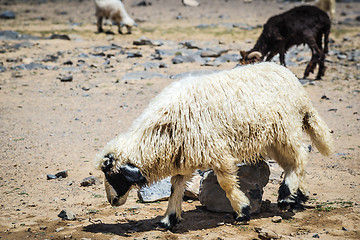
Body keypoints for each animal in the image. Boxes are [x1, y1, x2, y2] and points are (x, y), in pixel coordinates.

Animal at [94, 61, 334, 229]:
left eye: (113, 175)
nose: (112, 201)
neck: (160, 133)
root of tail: (289, 76)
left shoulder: (217, 152)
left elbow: (226, 184)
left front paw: (242, 211)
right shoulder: (184, 156)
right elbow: (175, 187)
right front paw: (169, 219)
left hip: (285, 129)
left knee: (300, 156)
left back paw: (286, 196)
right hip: (273, 138)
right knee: (292, 163)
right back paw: (298, 196)